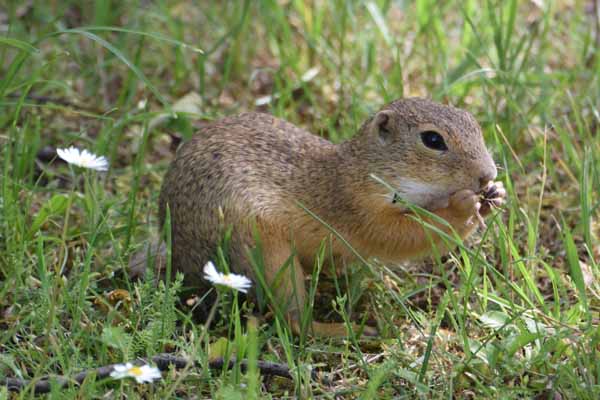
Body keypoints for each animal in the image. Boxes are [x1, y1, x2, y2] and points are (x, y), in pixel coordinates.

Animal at [156, 97, 506, 338]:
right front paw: (464, 207)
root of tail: (181, 260)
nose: (487, 174)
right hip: (267, 255)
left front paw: (496, 195)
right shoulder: (362, 210)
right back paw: (345, 331)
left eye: (472, 122)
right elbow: (405, 235)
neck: (361, 170)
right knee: (293, 321)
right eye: (433, 140)